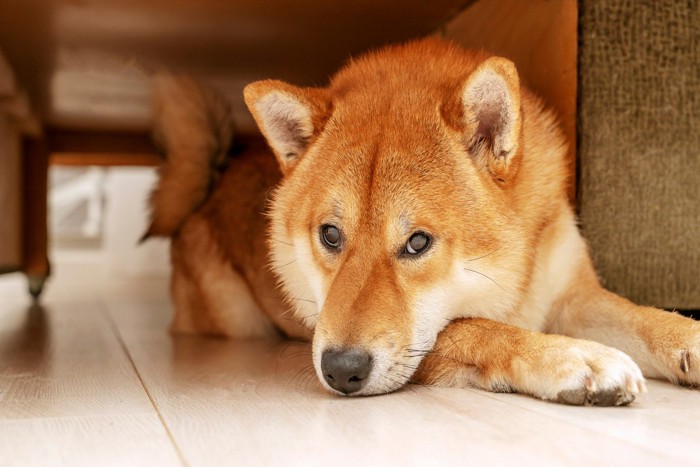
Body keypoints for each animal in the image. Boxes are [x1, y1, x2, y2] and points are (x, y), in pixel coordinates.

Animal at [145, 39, 696, 406]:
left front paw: (687, 338)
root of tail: (212, 184)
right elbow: (482, 329)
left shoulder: (572, 295)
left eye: (417, 243)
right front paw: (574, 359)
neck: (517, 279)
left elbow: (641, 316)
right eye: (330, 235)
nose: (341, 370)